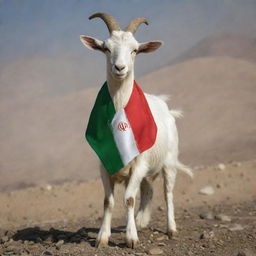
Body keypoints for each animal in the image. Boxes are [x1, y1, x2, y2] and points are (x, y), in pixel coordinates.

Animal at [80, 13, 192, 249]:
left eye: (134, 50)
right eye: (106, 48)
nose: (120, 68)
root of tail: (168, 109)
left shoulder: (139, 164)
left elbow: (129, 199)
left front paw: (131, 238)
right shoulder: (104, 167)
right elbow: (108, 201)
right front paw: (102, 237)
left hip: (169, 163)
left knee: (168, 194)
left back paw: (171, 229)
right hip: (149, 169)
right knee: (149, 190)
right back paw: (141, 221)